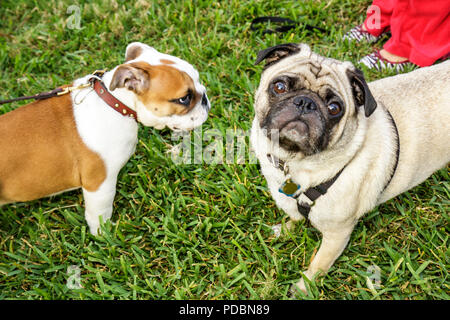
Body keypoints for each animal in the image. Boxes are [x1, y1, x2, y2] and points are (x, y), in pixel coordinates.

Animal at [0, 41, 211, 234]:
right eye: (184, 98)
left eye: (199, 80)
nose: (205, 98)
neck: (115, 102)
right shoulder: (99, 184)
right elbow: (100, 213)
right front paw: (105, 234)